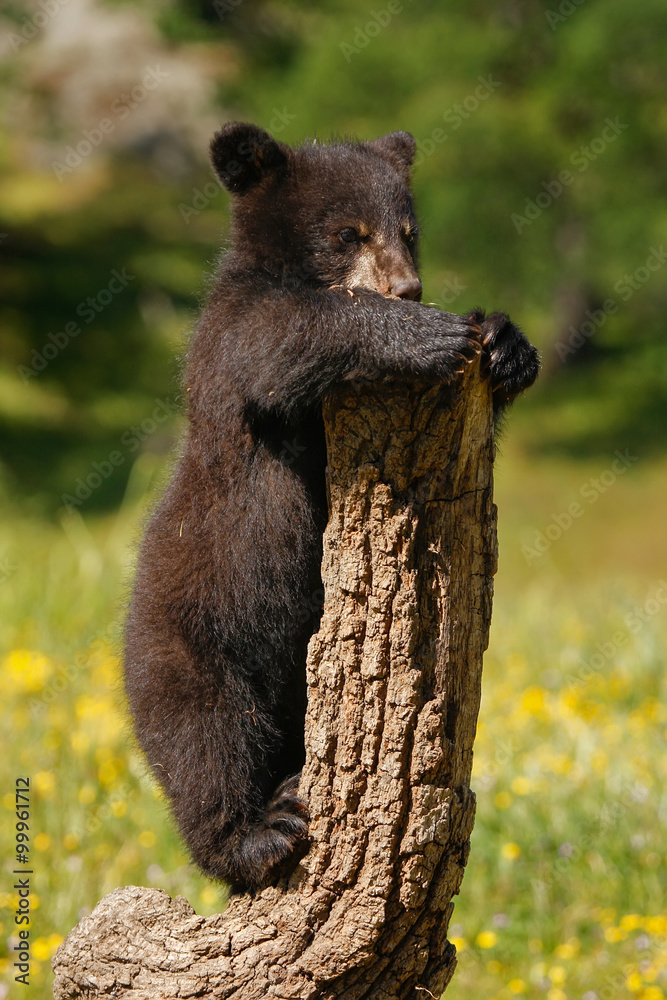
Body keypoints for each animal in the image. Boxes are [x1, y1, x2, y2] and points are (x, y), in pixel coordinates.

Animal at [124, 122, 539, 892]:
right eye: (348, 232)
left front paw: (505, 343)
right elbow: (286, 338)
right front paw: (425, 335)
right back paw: (256, 832)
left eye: (409, 231)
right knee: (204, 739)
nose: (406, 286)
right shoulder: (231, 342)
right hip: (194, 639)